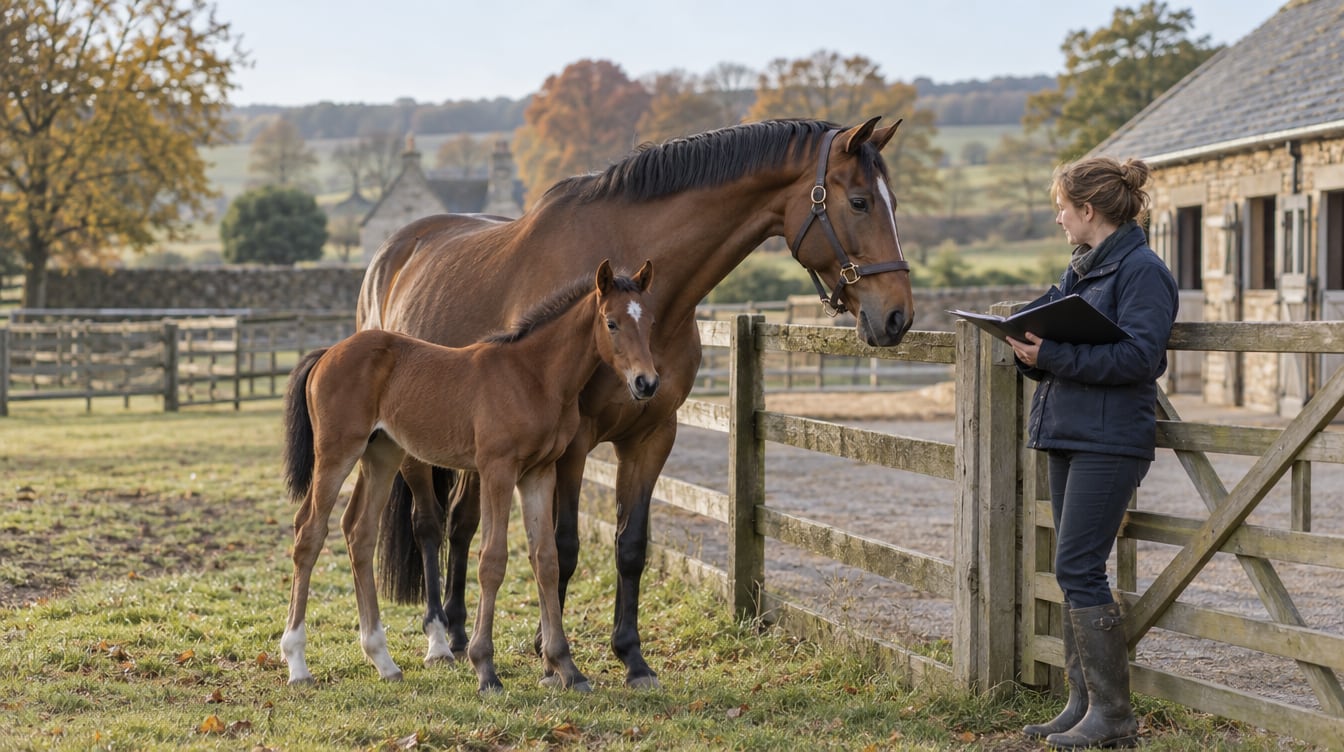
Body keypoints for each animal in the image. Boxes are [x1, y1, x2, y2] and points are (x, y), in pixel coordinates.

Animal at [281, 260, 657, 692]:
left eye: (650, 322)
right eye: (611, 323)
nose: (647, 383)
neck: (532, 376)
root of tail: (328, 352)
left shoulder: (539, 473)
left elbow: (545, 560)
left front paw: (566, 667)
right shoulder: (498, 469)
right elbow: (492, 560)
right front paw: (485, 668)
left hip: (382, 454)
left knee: (359, 532)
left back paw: (383, 660)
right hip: (337, 452)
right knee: (309, 531)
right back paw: (297, 664)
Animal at [359, 116, 915, 689]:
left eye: (892, 200)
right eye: (858, 202)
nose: (898, 316)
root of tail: (392, 252)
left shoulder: (650, 435)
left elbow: (631, 546)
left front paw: (631, 656)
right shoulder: (573, 444)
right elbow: (563, 546)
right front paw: (550, 656)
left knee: (463, 525)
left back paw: (458, 630)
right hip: (413, 448)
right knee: (429, 525)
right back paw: (436, 638)